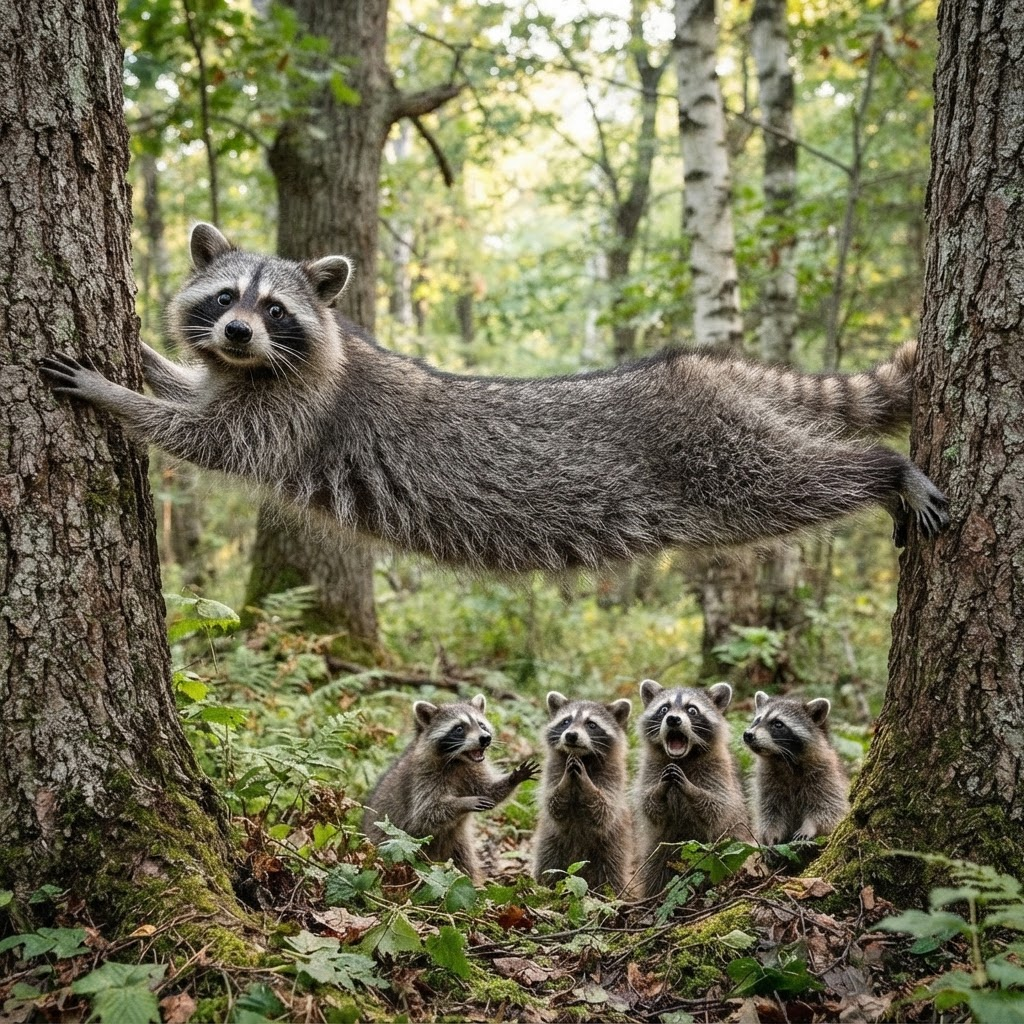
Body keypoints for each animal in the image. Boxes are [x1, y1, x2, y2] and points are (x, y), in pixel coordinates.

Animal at [41, 223, 949, 572]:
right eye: (226, 297)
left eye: (273, 312)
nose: (234, 335)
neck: (257, 367)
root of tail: (699, 368)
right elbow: (196, 397)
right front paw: (148, 359)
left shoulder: (296, 411)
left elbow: (208, 440)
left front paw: (114, 394)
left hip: (713, 458)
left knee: (788, 483)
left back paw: (883, 470)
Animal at [362, 694, 537, 883]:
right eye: (459, 728)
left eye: (481, 725)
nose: (485, 738)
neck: (458, 761)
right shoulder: (423, 776)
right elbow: (426, 814)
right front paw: (464, 802)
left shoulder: (474, 769)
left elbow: (488, 790)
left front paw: (513, 778)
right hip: (397, 845)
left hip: (457, 843)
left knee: (464, 862)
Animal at [532, 692, 634, 895]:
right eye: (566, 721)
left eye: (591, 724)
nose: (571, 735)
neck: (584, 758)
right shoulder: (552, 772)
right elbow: (553, 804)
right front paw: (564, 783)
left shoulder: (612, 777)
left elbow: (604, 811)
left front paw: (588, 784)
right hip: (550, 841)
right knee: (547, 865)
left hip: (612, 844)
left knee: (611, 871)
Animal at [634, 679, 750, 899]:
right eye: (664, 709)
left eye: (692, 710)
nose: (673, 720)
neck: (683, 758)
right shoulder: (650, 768)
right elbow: (649, 806)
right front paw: (659, 790)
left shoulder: (719, 769)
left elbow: (717, 808)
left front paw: (691, 789)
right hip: (660, 849)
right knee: (655, 871)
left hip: (731, 842)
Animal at [742, 691, 850, 846]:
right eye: (757, 720)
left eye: (778, 724)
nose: (748, 734)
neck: (783, 759)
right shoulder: (766, 780)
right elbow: (770, 811)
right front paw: (770, 834)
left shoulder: (827, 774)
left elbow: (828, 808)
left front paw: (811, 826)